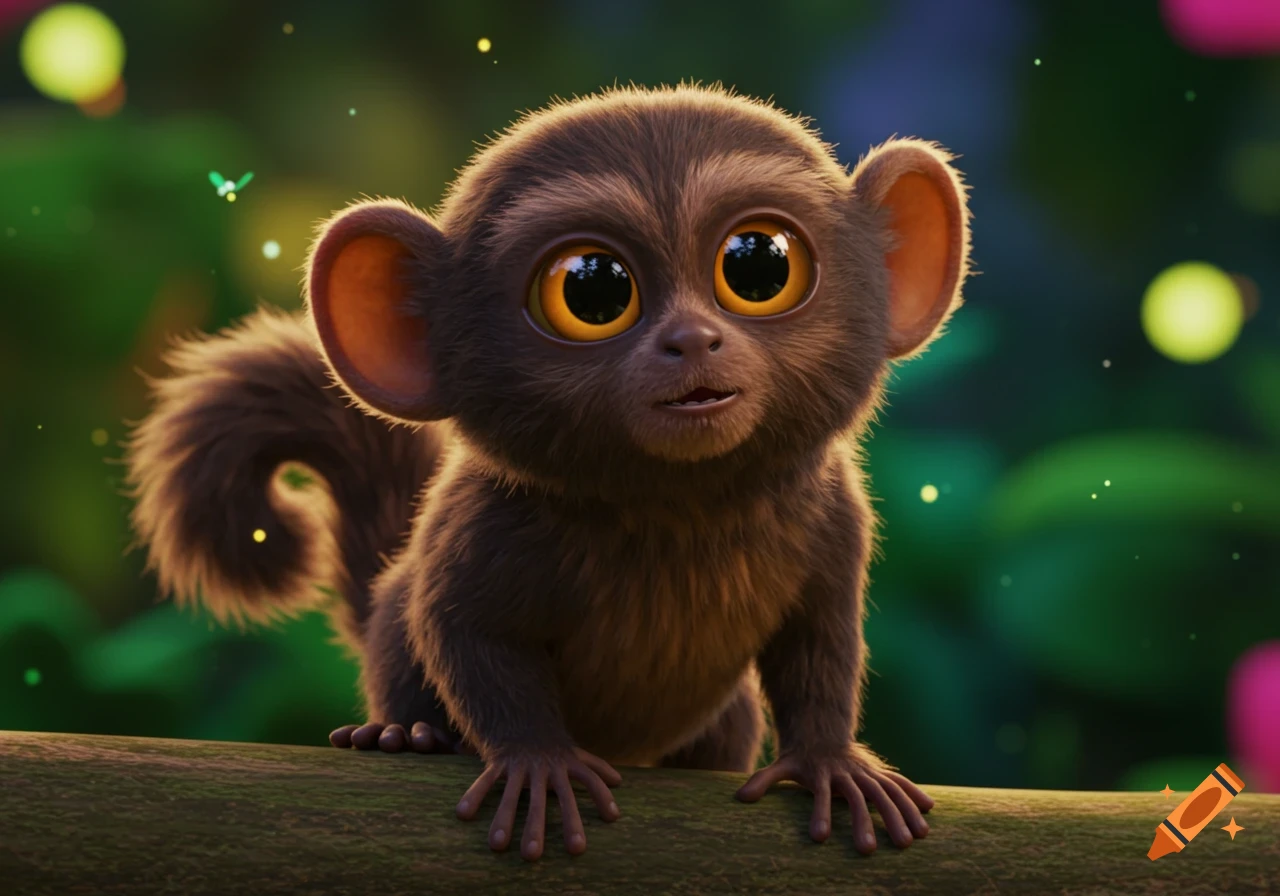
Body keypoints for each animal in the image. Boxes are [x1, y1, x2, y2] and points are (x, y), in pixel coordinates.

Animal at [125, 83, 970, 862]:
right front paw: (538, 764)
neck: (680, 513)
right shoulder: (482, 528)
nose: (693, 339)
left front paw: (830, 763)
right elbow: (467, 638)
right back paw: (402, 734)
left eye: (759, 264)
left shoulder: (834, 520)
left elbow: (821, 647)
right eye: (592, 286)